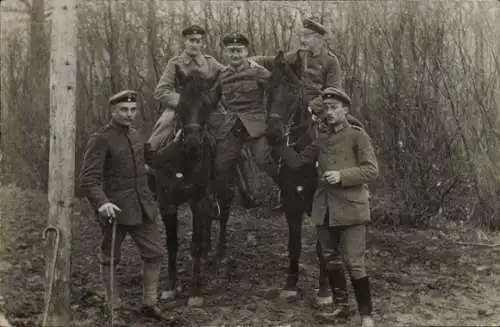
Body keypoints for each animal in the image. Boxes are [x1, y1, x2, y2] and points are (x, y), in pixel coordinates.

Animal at [150, 66, 221, 308]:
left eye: (207, 105)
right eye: (180, 105)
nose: (192, 144)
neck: (183, 162)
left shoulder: (200, 201)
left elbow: (195, 244)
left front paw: (194, 290)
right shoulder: (166, 203)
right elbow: (171, 243)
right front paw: (171, 286)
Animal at [266, 50, 332, 304]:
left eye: (294, 90)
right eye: (269, 87)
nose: (273, 134)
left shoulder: (320, 203)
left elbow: (322, 247)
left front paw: (324, 290)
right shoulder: (290, 199)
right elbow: (294, 244)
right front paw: (290, 285)